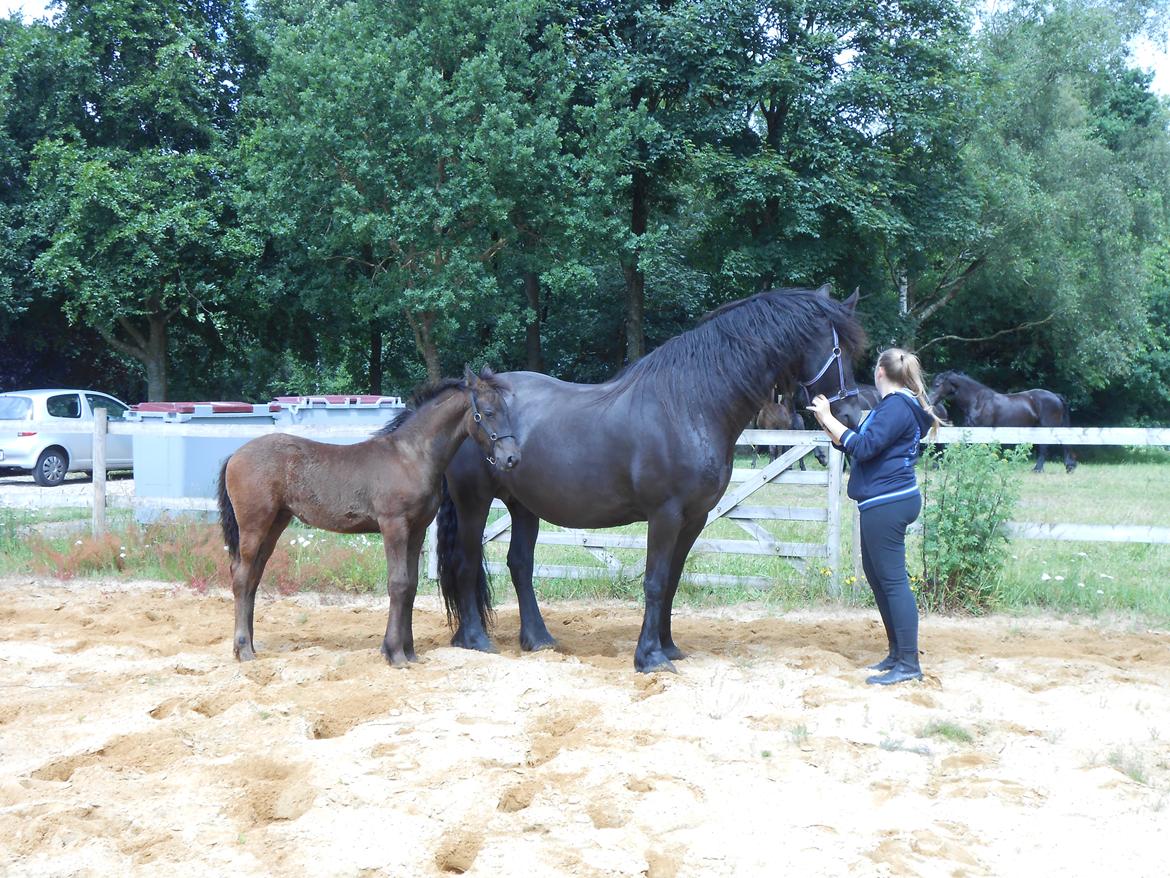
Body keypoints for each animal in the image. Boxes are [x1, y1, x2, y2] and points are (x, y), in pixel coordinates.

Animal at [214, 369, 521, 664]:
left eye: (507, 410)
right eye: (488, 412)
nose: (512, 459)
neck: (411, 457)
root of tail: (234, 455)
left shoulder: (417, 529)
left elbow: (410, 586)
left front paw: (409, 652)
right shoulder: (393, 525)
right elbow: (397, 584)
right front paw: (394, 654)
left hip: (275, 523)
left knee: (253, 578)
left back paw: (249, 646)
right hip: (254, 526)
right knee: (241, 577)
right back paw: (243, 649)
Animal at [435, 289, 865, 674]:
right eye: (839, 351)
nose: (851, 416)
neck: (690, 405)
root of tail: (467, 403)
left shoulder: (693, 518)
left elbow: (671, 581)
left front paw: (668, 646)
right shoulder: (665, 515)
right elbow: (655, 582)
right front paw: (650, 657)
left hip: (523, 505)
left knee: (520, 564)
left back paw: (539, 640)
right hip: (474, 501)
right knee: (466, 563)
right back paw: (474, 639)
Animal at [926, 372, 1071, 475]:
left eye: (937, 384)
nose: (928, 401)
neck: (978, 401)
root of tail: (1055, 396)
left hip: (1048, 427)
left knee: (1048, 446)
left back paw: (1041, 469)